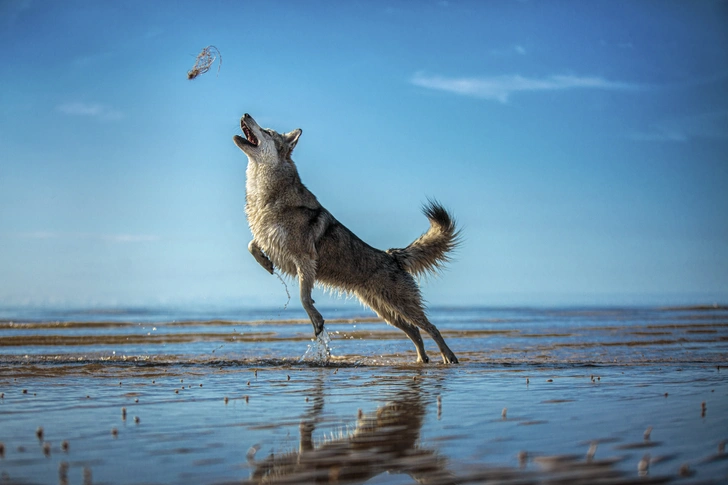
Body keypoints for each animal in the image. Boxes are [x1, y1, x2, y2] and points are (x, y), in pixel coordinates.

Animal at [233, 114, 460, 364]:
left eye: (267, 131)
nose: (245, 114)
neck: (266, 196)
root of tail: (392, 255)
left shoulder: (305, 259)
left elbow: (304, 298)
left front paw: (317, 321)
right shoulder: (269, 238)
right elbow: (251, 244)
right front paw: (266, 263)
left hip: (401, 307)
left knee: (431, 327)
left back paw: (449, 358)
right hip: (386, 312)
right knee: (415, 331)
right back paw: (421, 360)